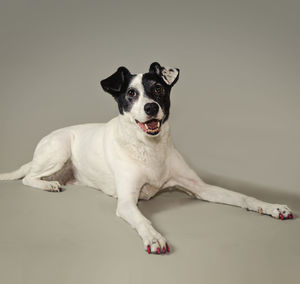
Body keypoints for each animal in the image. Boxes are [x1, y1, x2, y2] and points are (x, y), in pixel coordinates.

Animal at [0, 62, 292, 255]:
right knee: (28, 177)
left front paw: (272, 206)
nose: (151, 107)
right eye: (131, 93)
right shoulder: (127, 202)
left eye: (159, 88)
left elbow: (242, 197)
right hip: (58, 150)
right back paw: (48, 184)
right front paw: (154, 237)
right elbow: (143, 220)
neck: (150, 149)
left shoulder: (200, 188)